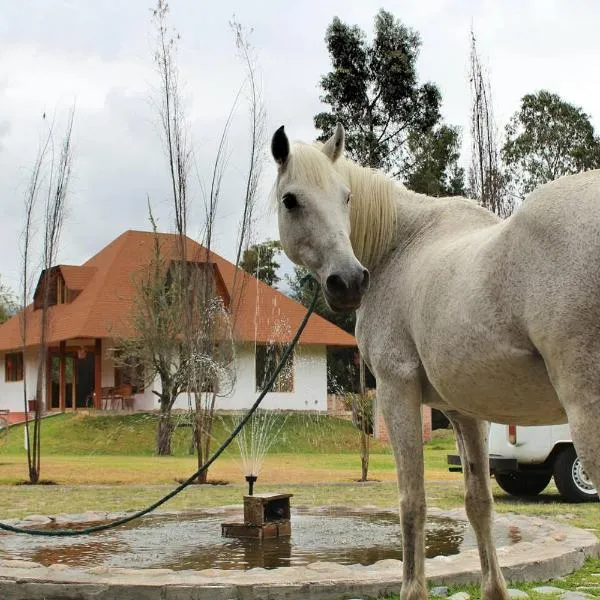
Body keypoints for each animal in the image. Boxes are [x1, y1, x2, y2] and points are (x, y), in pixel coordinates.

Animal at [272, 123, 600, 600]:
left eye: (346, 197)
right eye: (291, 200)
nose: (348, 282)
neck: (399, 247)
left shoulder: (397, 390)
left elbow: (413, 501)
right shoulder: (466, 412)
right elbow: (479, 503)